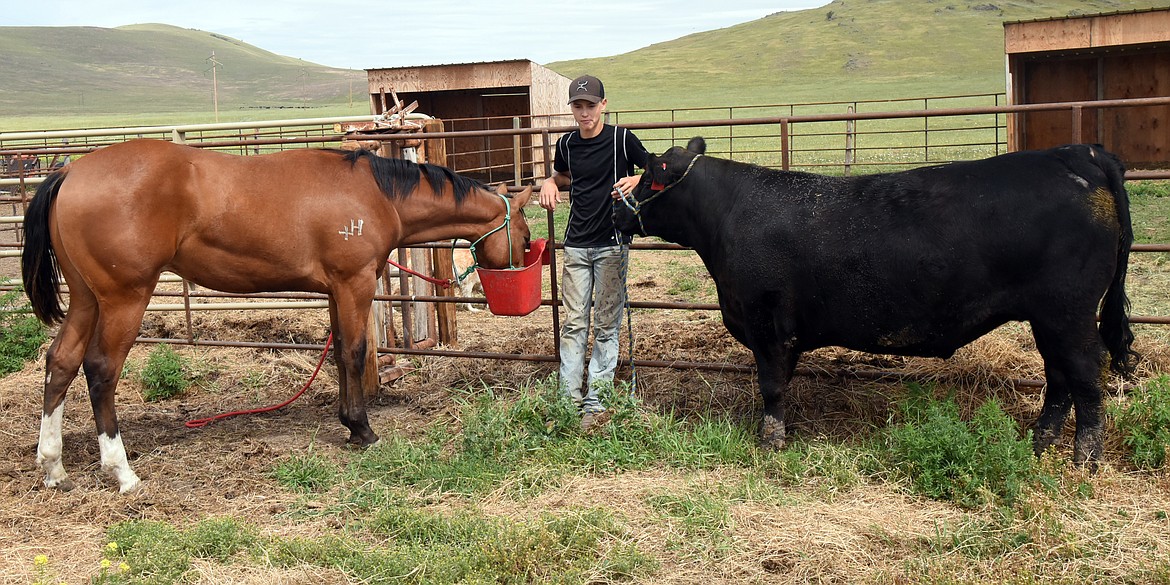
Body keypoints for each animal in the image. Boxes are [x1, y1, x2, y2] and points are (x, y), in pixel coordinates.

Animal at [20, 139, 533, 491]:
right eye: (526, 236)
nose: (523, 270)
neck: (376, 195)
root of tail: (72, 173)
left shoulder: (335, 290)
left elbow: (340, 352)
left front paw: (349, 423)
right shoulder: (354, 284)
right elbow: (354, 352)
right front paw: (362, 428)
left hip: (86, 299)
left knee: (60, 363)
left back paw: (53, 466)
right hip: (124, 299)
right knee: (100, 370)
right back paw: (121, 471)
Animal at [617, 139, 1137, 463]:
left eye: (647, 179)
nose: (615, 206)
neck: (729, 216)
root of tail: (1078, 153)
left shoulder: (767, 324)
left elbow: (771, 387)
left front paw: (770, 441)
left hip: (1068, 313)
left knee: (1086, 373)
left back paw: (1085, 458)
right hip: (1049, 319)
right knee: (1059, 377)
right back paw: (1039, 441)